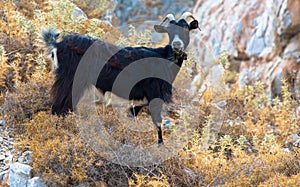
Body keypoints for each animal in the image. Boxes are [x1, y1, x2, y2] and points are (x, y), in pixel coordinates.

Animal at [42, 11, 199, 144]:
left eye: (186, 28)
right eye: (169, 31)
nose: (176, 45)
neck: (165, 57)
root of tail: (58, 45)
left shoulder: (140, 100)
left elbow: (133, 116)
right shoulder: (154, 94)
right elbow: (158, 123)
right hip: (70, 81)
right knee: (58, 107)